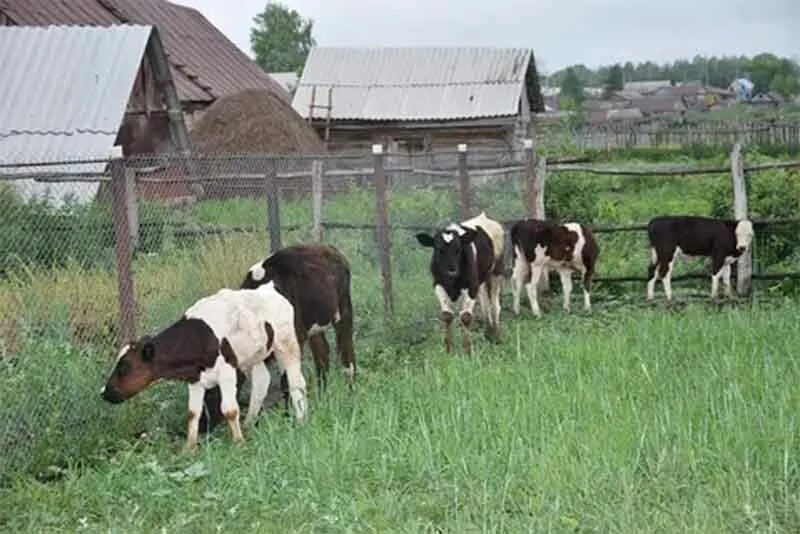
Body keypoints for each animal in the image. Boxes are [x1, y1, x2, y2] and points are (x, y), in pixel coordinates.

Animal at [101, 284, 306, 452]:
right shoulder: (195, 380)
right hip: (253, 356)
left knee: (296, 382)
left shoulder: (227, 371)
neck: (197, 339)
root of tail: (269, 290)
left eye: (124, 367)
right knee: (262, 381)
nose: (104, 392)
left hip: (286, 343)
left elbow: (230, 409)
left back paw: (301, 418)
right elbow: (193, 413)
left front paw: (238, 443)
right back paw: (249, 423)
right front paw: (189, 448)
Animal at [416, 211, 504, 354]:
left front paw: (468, 351)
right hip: (482, 279)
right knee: (485, 301)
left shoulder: (471, 286)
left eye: (458, 249)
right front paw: (449, 350)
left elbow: (466, 316)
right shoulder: (438, 284)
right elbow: (447, 315)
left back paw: (495, 334)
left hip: (496, 271)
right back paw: (488, 332)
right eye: (439, 249)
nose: (452, 270)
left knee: (495, 304)